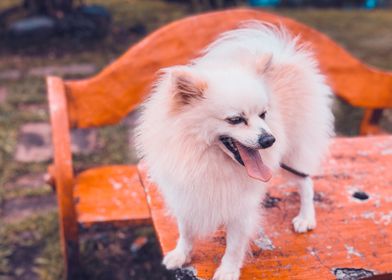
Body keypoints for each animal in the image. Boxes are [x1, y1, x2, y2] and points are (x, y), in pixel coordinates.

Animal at [136, 22, 334, 280]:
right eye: (235, 120)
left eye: (263, 114)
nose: (270, 139)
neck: (208, 161)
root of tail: (286, 57)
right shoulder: (186, 195)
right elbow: (186, 231)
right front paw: (181, 255)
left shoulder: (241, 207)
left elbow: (234, 245)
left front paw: (227, 271)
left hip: (295, 154)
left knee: (306, 182)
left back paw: (306, 217)